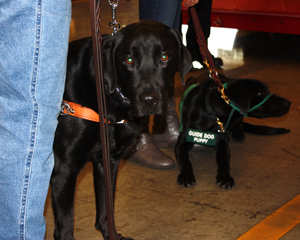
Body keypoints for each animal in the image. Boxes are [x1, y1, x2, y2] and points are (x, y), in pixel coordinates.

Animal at [51, 20, 192, 240]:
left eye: (164, 57)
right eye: (128, 60)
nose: (149, 101)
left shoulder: (108, 162)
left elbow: (106, 209)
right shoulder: (65, 167)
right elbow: (65, 227)